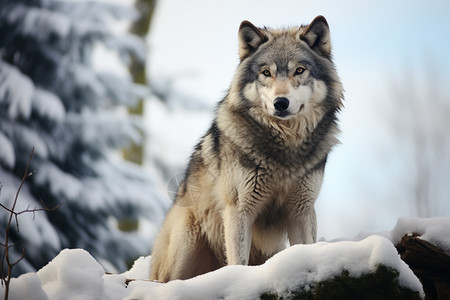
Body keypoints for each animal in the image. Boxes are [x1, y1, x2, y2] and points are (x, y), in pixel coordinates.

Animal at [149, 15, 342, 282]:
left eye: (299, 70)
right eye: (266, 73)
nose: (280, 103)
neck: (285, 147)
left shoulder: (301, 210)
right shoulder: (239, 210)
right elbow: (238, 260)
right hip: (187, 237)